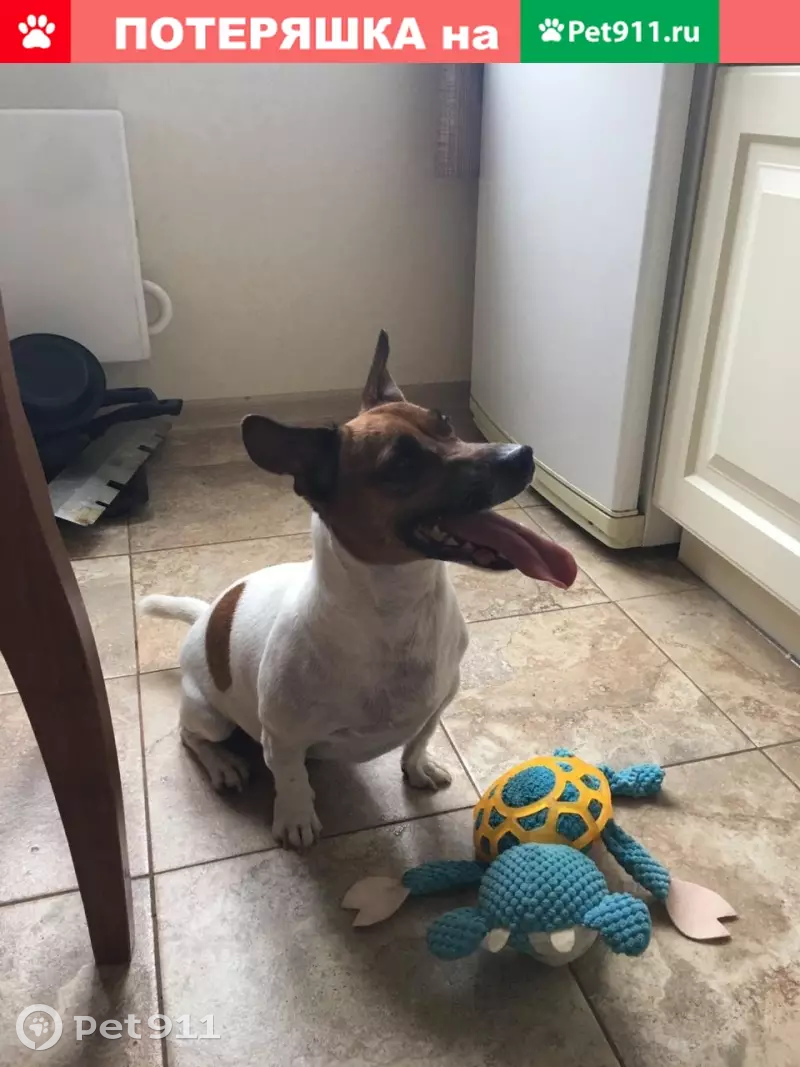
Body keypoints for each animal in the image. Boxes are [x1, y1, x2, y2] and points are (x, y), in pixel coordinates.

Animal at [140, 332, 577, 848]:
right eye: (401, 465)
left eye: (446, 424)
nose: (522, 454)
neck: (399, 609)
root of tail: (208, 614)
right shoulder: (283, 739)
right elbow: (290, 778)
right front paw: (296, 817)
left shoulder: (440, 701)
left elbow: (419, 739)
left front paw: (417, 767)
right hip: (210, 714)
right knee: (190, 736)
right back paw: (223, 764)